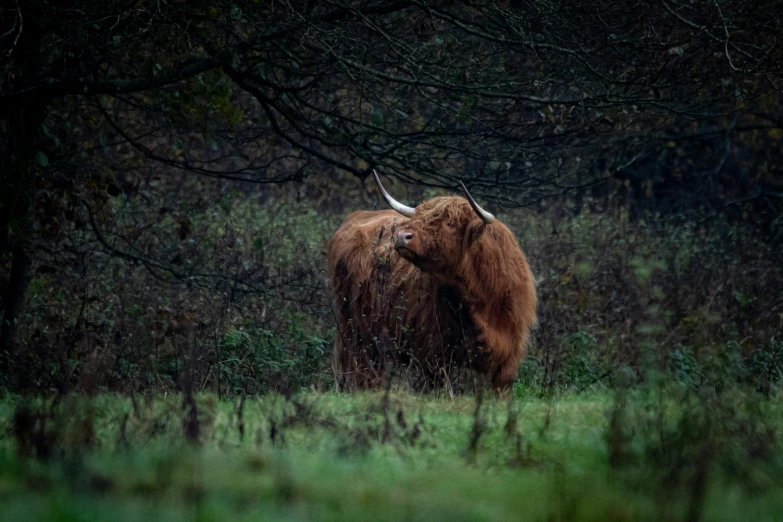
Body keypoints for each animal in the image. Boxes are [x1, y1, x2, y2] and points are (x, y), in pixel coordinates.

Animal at [328, 171, 536, 390]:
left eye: (450, 223)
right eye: (420, 218)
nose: (402, 236)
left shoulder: (510, 352)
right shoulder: (434, 349)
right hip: (354, 326)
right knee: (362, 366)